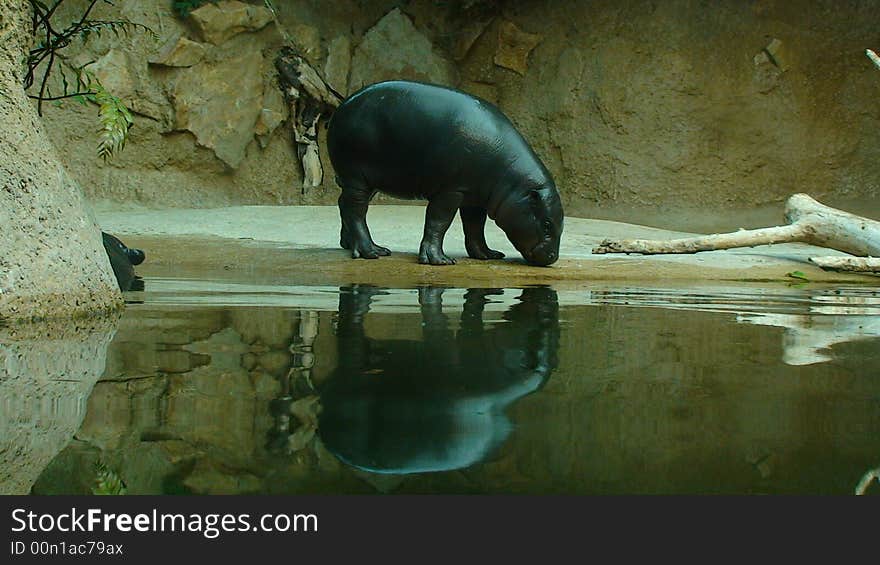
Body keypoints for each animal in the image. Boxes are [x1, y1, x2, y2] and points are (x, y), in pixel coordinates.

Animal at [328, 80, 564, 266]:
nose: (553, 257)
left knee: (344, 204)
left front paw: (488, 255)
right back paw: (372, 251)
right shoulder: (451, 190)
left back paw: (348, 244)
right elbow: (439, 221)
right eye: (547, 224)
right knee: (355, 209)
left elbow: (475, 226)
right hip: (356, 176)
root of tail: (342, 106)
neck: (512, 181)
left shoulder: (474, 197)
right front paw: (439, 260)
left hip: (369, 181)